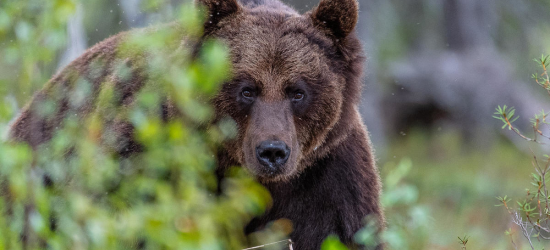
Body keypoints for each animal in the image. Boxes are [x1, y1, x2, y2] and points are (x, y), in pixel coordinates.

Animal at [9, 0, 388, 250]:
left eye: (297, 91)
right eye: (247, 89)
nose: (272, 152)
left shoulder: (328, 175)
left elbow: (339, 232)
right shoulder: (146, 149)